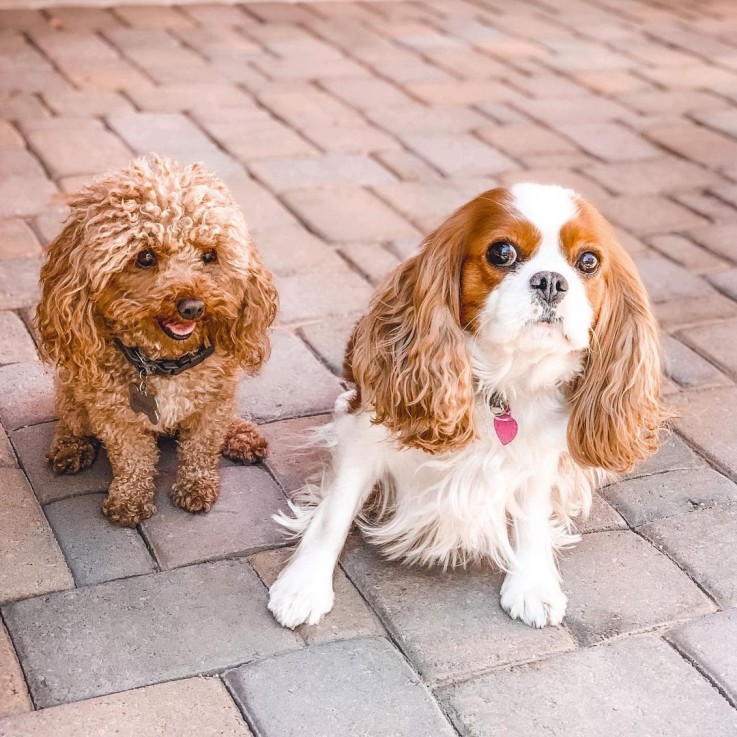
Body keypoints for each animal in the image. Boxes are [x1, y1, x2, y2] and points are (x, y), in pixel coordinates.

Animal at [35, 155, 276, 528]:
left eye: (210, 255)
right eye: (145, 257)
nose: (193, 306)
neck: (165, 362)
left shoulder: (213, 403)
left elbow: (202, 446)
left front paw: (196, 486)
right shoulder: (116, 414)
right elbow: (131, 457)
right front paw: (129, 501)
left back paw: (240, 435)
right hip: (70, 387)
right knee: (69, 419)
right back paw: (70, 447)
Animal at [268, 183, 668, 628]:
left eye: (589, 261)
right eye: (501, 252)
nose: (550, 281)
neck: (502, 383)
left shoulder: (542, 455)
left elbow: (532, 515)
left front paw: (533, 582)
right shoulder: (364, 436)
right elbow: (334, 514)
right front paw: (304, 585)